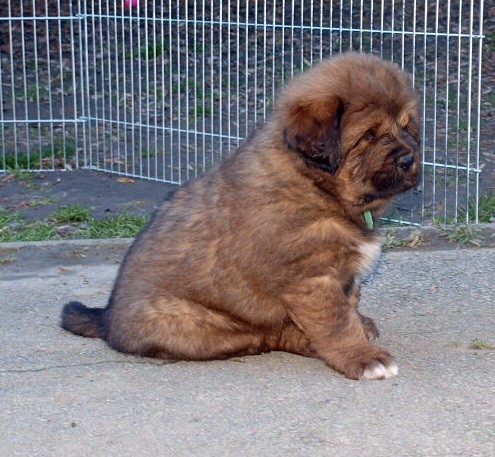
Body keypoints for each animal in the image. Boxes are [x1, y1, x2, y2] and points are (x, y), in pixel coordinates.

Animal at [61, 52, 420, 380]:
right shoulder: (310, 278)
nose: (409, 160)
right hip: (194, 324)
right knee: (264, 336)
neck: (318, 186)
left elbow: (350, 306)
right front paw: (362, 356)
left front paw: (360, 328)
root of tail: (107, 319)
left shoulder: (344, 276)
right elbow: (336, 324)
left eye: (406, 127)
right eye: (368, 135)